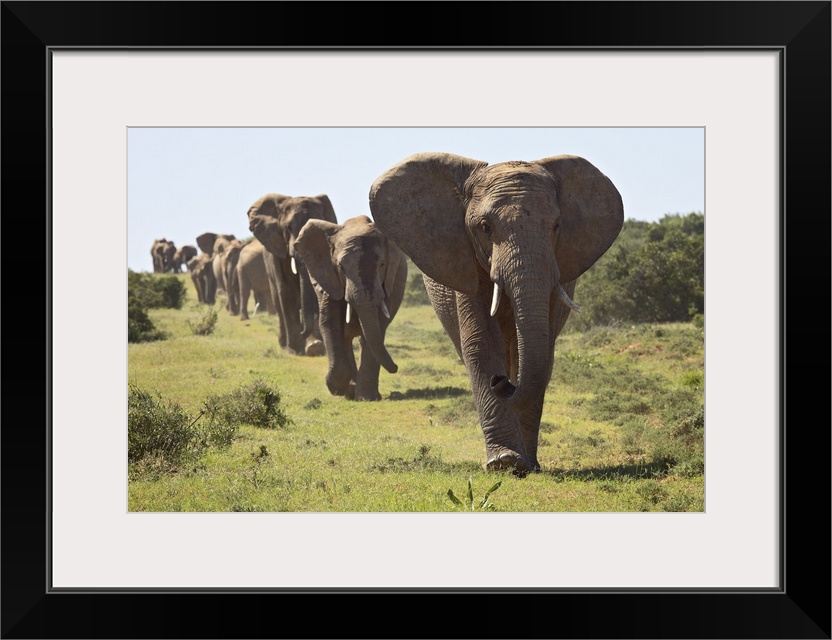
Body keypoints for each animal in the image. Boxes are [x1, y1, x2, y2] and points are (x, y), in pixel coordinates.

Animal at [247, 192, 338, 358]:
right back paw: (284, 345)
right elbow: (286, 291)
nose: (303, 332)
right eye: (288, 228)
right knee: (278, 304)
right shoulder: (277, 250)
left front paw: (315, 347)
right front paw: (295, 350)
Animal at [294, 218, 408, 402]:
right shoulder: (329, 278)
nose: (396, 367)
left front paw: (366, 398)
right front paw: (336, 387)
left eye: (382, 265)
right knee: (345, 338)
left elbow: (377, 327)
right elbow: (330, 323)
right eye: (341, 267)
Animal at [368, 152, 620, 476]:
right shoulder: (466, 260)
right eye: (485, 227)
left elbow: (541, 350)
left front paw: (524, 465)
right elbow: (481, 343)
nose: (501, 382)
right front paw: (504, 462)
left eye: (556, 226)